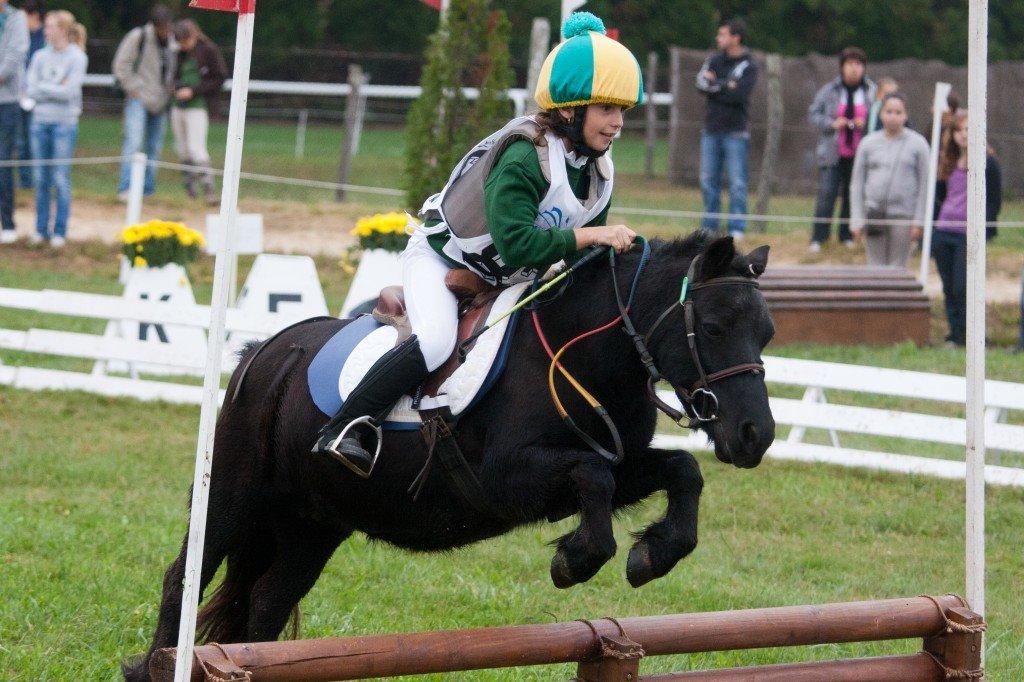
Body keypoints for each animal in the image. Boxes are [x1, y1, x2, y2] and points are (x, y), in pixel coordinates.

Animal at [121, 231, 774, 675]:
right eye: (713, 327)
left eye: (767, 333)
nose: (756, 436)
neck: (580, 352)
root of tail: (264, 351)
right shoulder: (506, 480)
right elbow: (593, 478)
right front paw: (577, 559)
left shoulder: (619, 462)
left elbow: (680, 471)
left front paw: (653, 555)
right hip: (234, 497)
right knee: (184, 578)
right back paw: (152, 663)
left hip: (313, 523)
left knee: (267, 601)